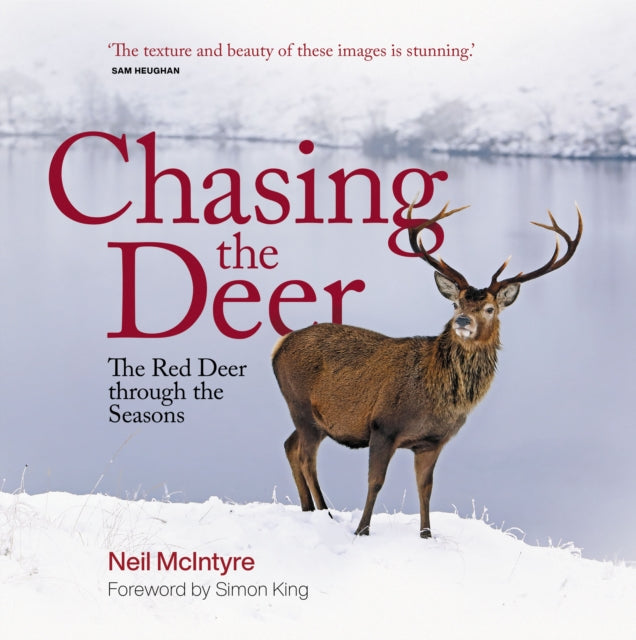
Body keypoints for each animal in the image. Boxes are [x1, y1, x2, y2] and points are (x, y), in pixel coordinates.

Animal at [272, 202, 583, 537]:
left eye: (489, 309)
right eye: (456, 304)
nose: (463, 321)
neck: (435, 395)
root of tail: (278, 347)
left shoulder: (432, 442)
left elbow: (426, 488)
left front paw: (427, 534)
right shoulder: (383, 425)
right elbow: (375, 482)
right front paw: (362, 530)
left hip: (314, 418)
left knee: (290, 445)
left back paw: (310, 509)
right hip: (301, 406)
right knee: (306, 457)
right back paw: (325, 513)